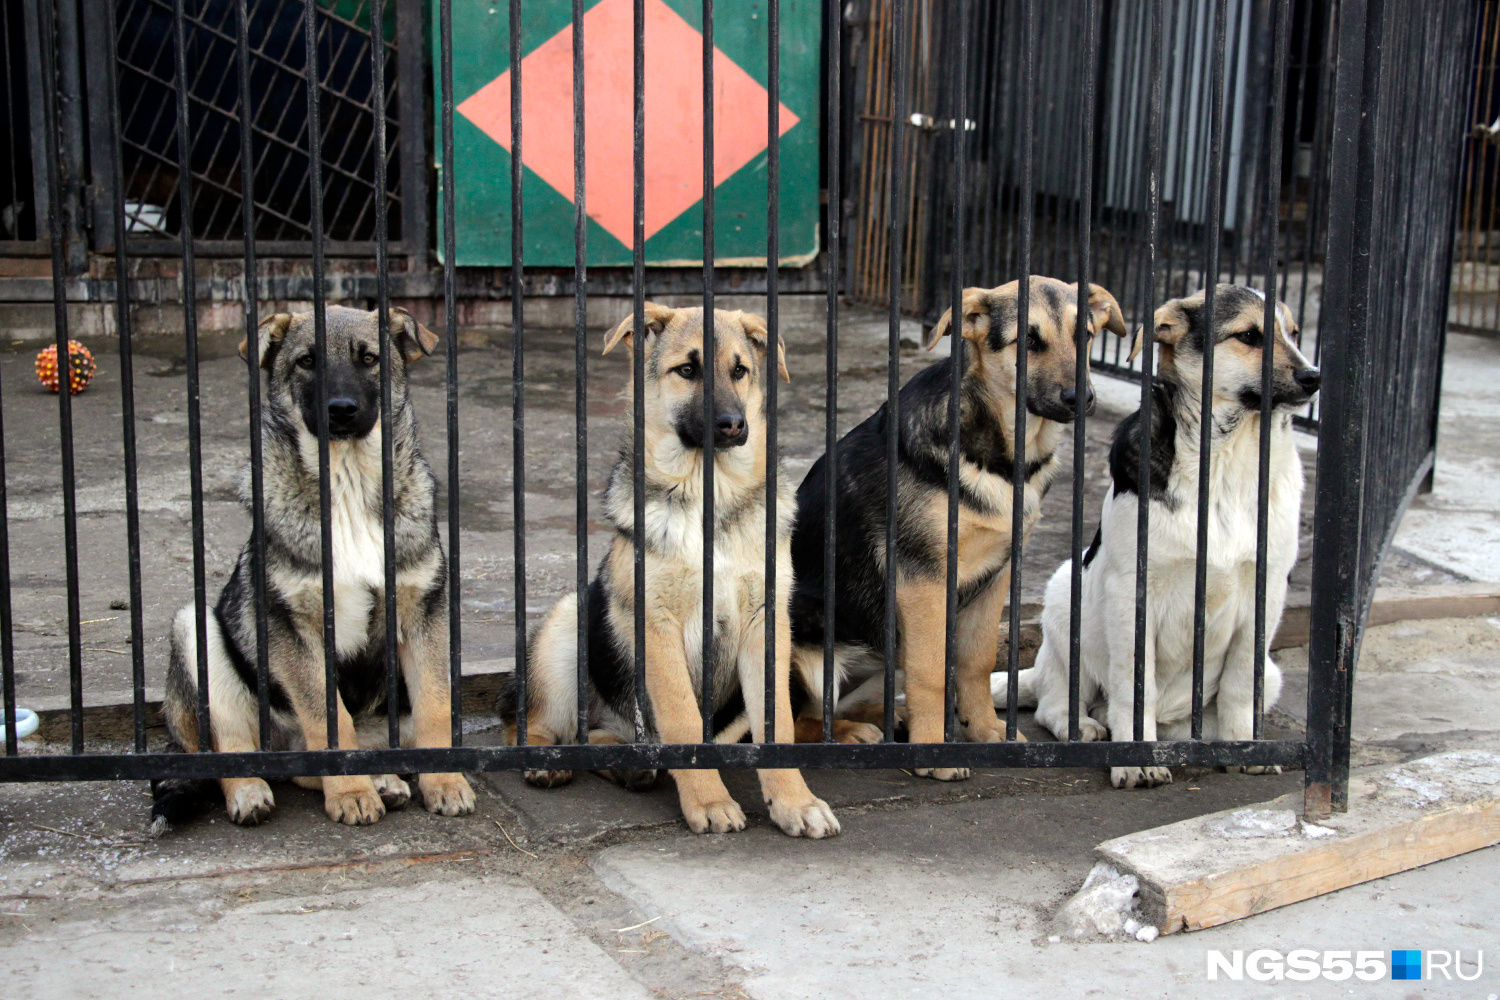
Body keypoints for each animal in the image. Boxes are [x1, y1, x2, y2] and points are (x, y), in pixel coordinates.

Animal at [149, 305, 471, 827]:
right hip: (196, 633)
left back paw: (384, 780)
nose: (341, 409)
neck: (347, 483)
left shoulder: (425, 613)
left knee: (313, 766)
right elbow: (329, 720)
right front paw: (350, 793)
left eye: (369, 358)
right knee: (235, 749)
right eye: (305, 361)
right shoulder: (295, 628)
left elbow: (435, 709)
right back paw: (252, 792)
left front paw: (443, 782)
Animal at [498, 302, 840, 839]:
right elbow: (680, 716)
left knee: (604, 737)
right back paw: (547, 760)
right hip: (567, 626)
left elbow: (778, 723)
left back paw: (630, 765)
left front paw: (793, 800)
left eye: (740, 371)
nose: (733, 425)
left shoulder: (764, 625)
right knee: (528, 721)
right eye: (687, 370)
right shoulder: (656, 626)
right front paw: (709, 800)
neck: (709, 495)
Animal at [786, 277, 1128, 779]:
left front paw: (984, 731)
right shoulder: (923, 580)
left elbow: (975, 663)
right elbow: (931, 670)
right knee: (785, 723)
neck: (1002, 454)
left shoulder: (994, 577)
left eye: (1084, 336)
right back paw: (855, 733)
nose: (1078, 399)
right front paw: (933, 752)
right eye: (1028, 340)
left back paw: (890, 718)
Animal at [1002, 284, 1320, 785]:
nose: (1314, 377)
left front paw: (1245, 747)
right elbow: (1137, 689)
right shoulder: (1131, 591)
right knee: (1057, 703)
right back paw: (1086, 728)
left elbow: (1238, 686)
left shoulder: (1265, 591)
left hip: (1270, 673)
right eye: (1250, 336)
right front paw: (1135, 759)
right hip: (1066, 594)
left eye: (1293, 333)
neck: (1228, 459)